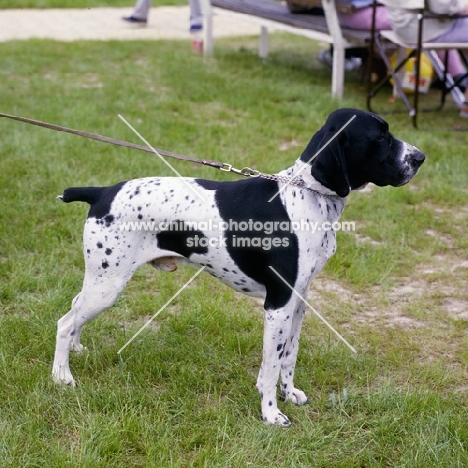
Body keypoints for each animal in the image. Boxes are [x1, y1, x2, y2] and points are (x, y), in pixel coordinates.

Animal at [52, 109, 424, 428]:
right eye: (381, 137)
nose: (420, 157)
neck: (306, 196)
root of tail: (102, 192)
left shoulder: (299, 301)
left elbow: (289, 356)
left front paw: (289, 394)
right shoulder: (278, 305)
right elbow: (270, 367)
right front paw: (271, 413)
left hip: (102, 280)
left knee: (74, 309)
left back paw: (77, 349)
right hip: (108, 284)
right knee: (64, 322)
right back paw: (61, 376)